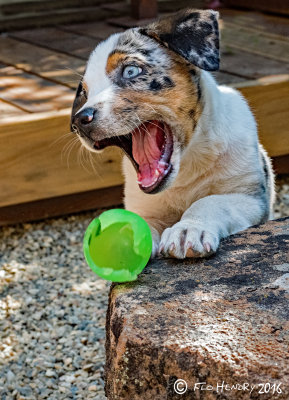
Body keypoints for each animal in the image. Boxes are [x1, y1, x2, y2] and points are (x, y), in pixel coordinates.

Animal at [71, 10, 274, 260]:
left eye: (131, 71)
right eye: (85, 93)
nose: (79, 121)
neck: (186, 167)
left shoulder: (250, 197)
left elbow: (211, 201)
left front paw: (188, 229)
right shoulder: (144, 208)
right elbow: (136, 222)